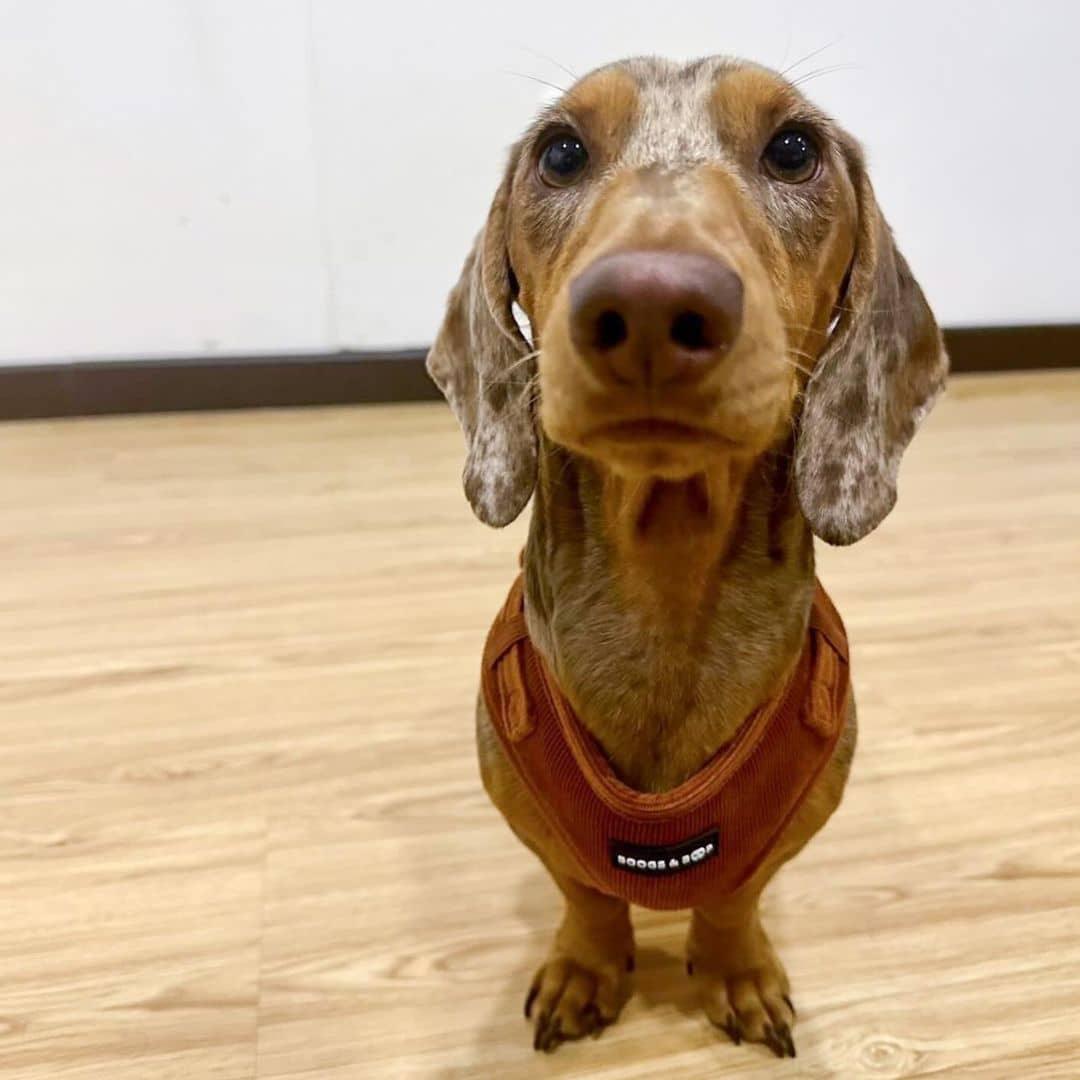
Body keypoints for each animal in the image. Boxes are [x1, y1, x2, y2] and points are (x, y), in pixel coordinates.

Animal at [425, 54, 950, 1058]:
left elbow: (734, 895)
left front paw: (737, 970)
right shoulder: (526, 806)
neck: (664, 594)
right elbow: (587, 893)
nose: (651, 301)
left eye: (794, 148)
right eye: (561, 152)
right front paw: (588, 968)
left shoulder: (795, 815)